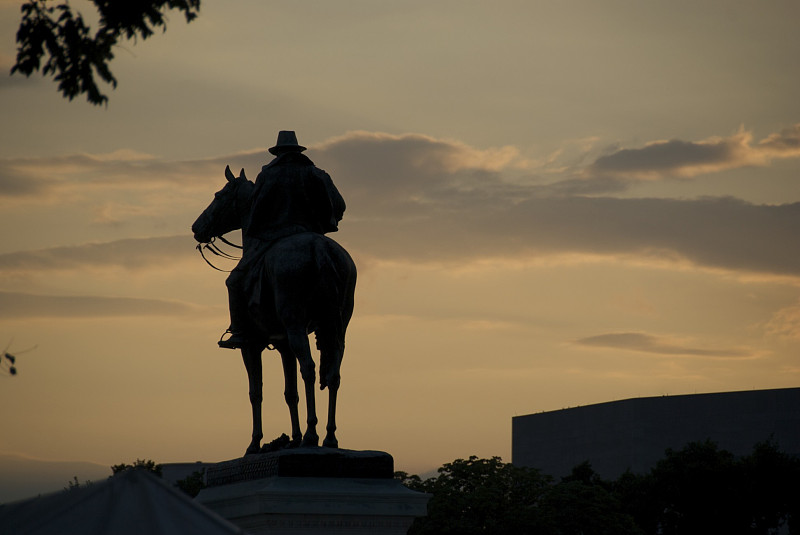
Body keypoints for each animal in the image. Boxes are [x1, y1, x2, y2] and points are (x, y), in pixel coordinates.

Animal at [191, 165, 356, 454]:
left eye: (219, 195)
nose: (196, 228)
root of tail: (321, 249)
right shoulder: (283, 344)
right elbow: (290, 393)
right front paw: (294, 438)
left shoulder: (252, 345)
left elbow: (255, 392)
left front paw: (255, 443)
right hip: (336, 328)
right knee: (333, 374)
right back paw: (329, 437)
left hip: (295, 324)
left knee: (309, 368)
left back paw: (312, 434)